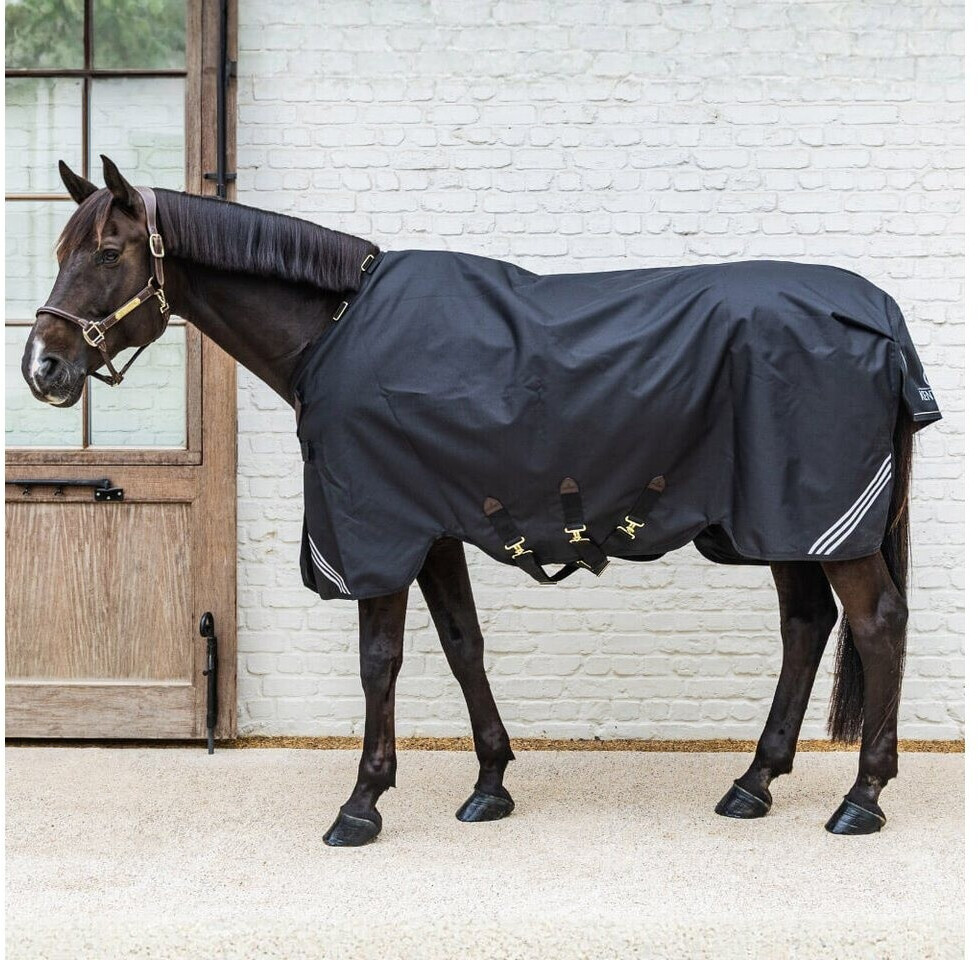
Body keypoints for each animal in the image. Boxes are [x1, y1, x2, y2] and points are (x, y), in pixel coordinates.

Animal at [22, 156, 936, 846]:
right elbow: (464, 644)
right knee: (807, 625)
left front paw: (362, 804)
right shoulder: (431, 529)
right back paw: (754, 782)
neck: (339, 324)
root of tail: (879, 317)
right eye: (62, 246)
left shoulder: (378, 529)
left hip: (821, 523)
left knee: (876, 624)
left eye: (108, 252)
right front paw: (491, 782)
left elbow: (379, 661)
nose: (43, 369)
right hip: (781, 525)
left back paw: (861, 798)